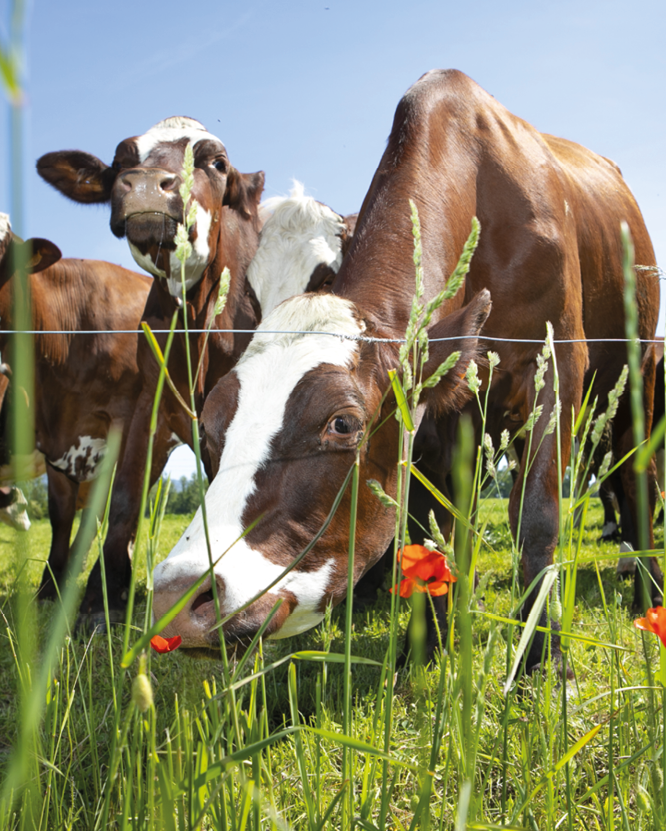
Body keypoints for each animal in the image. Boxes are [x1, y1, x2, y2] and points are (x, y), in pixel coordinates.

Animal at [151, 70, 661, 673]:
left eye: (342, 423)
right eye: (209, 428)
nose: (178, 598)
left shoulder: (556, 362)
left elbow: (536, 516)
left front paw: (542, 660)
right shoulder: (430, 415)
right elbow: (424, 530)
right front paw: (424, 652)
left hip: (636, 379)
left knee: (639, 480)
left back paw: (646, 591)